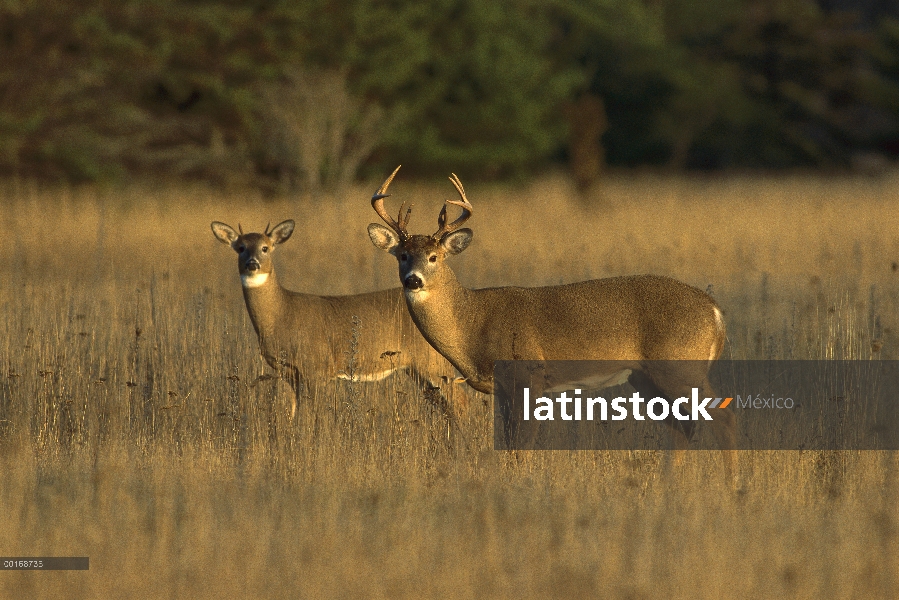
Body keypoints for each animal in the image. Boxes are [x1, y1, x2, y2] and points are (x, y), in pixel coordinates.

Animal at [212, 220, 460, 422]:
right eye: (241, 248)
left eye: (265, 248)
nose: (252, 264)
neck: (282, 314)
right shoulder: (289, 372)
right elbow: (293, 414)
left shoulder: (316, 367)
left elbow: (314, 416)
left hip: (433, 361)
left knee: (461, 405)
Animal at [368, 166, 740, 462]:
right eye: (402, 255)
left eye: (434, 257)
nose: (413, 280)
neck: (473, 322)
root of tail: (715, 311)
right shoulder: (503, 391)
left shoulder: (528, 375)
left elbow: (521, 445)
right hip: (647, 377)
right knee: (682, 426)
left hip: (680, 367)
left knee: (722, 416)